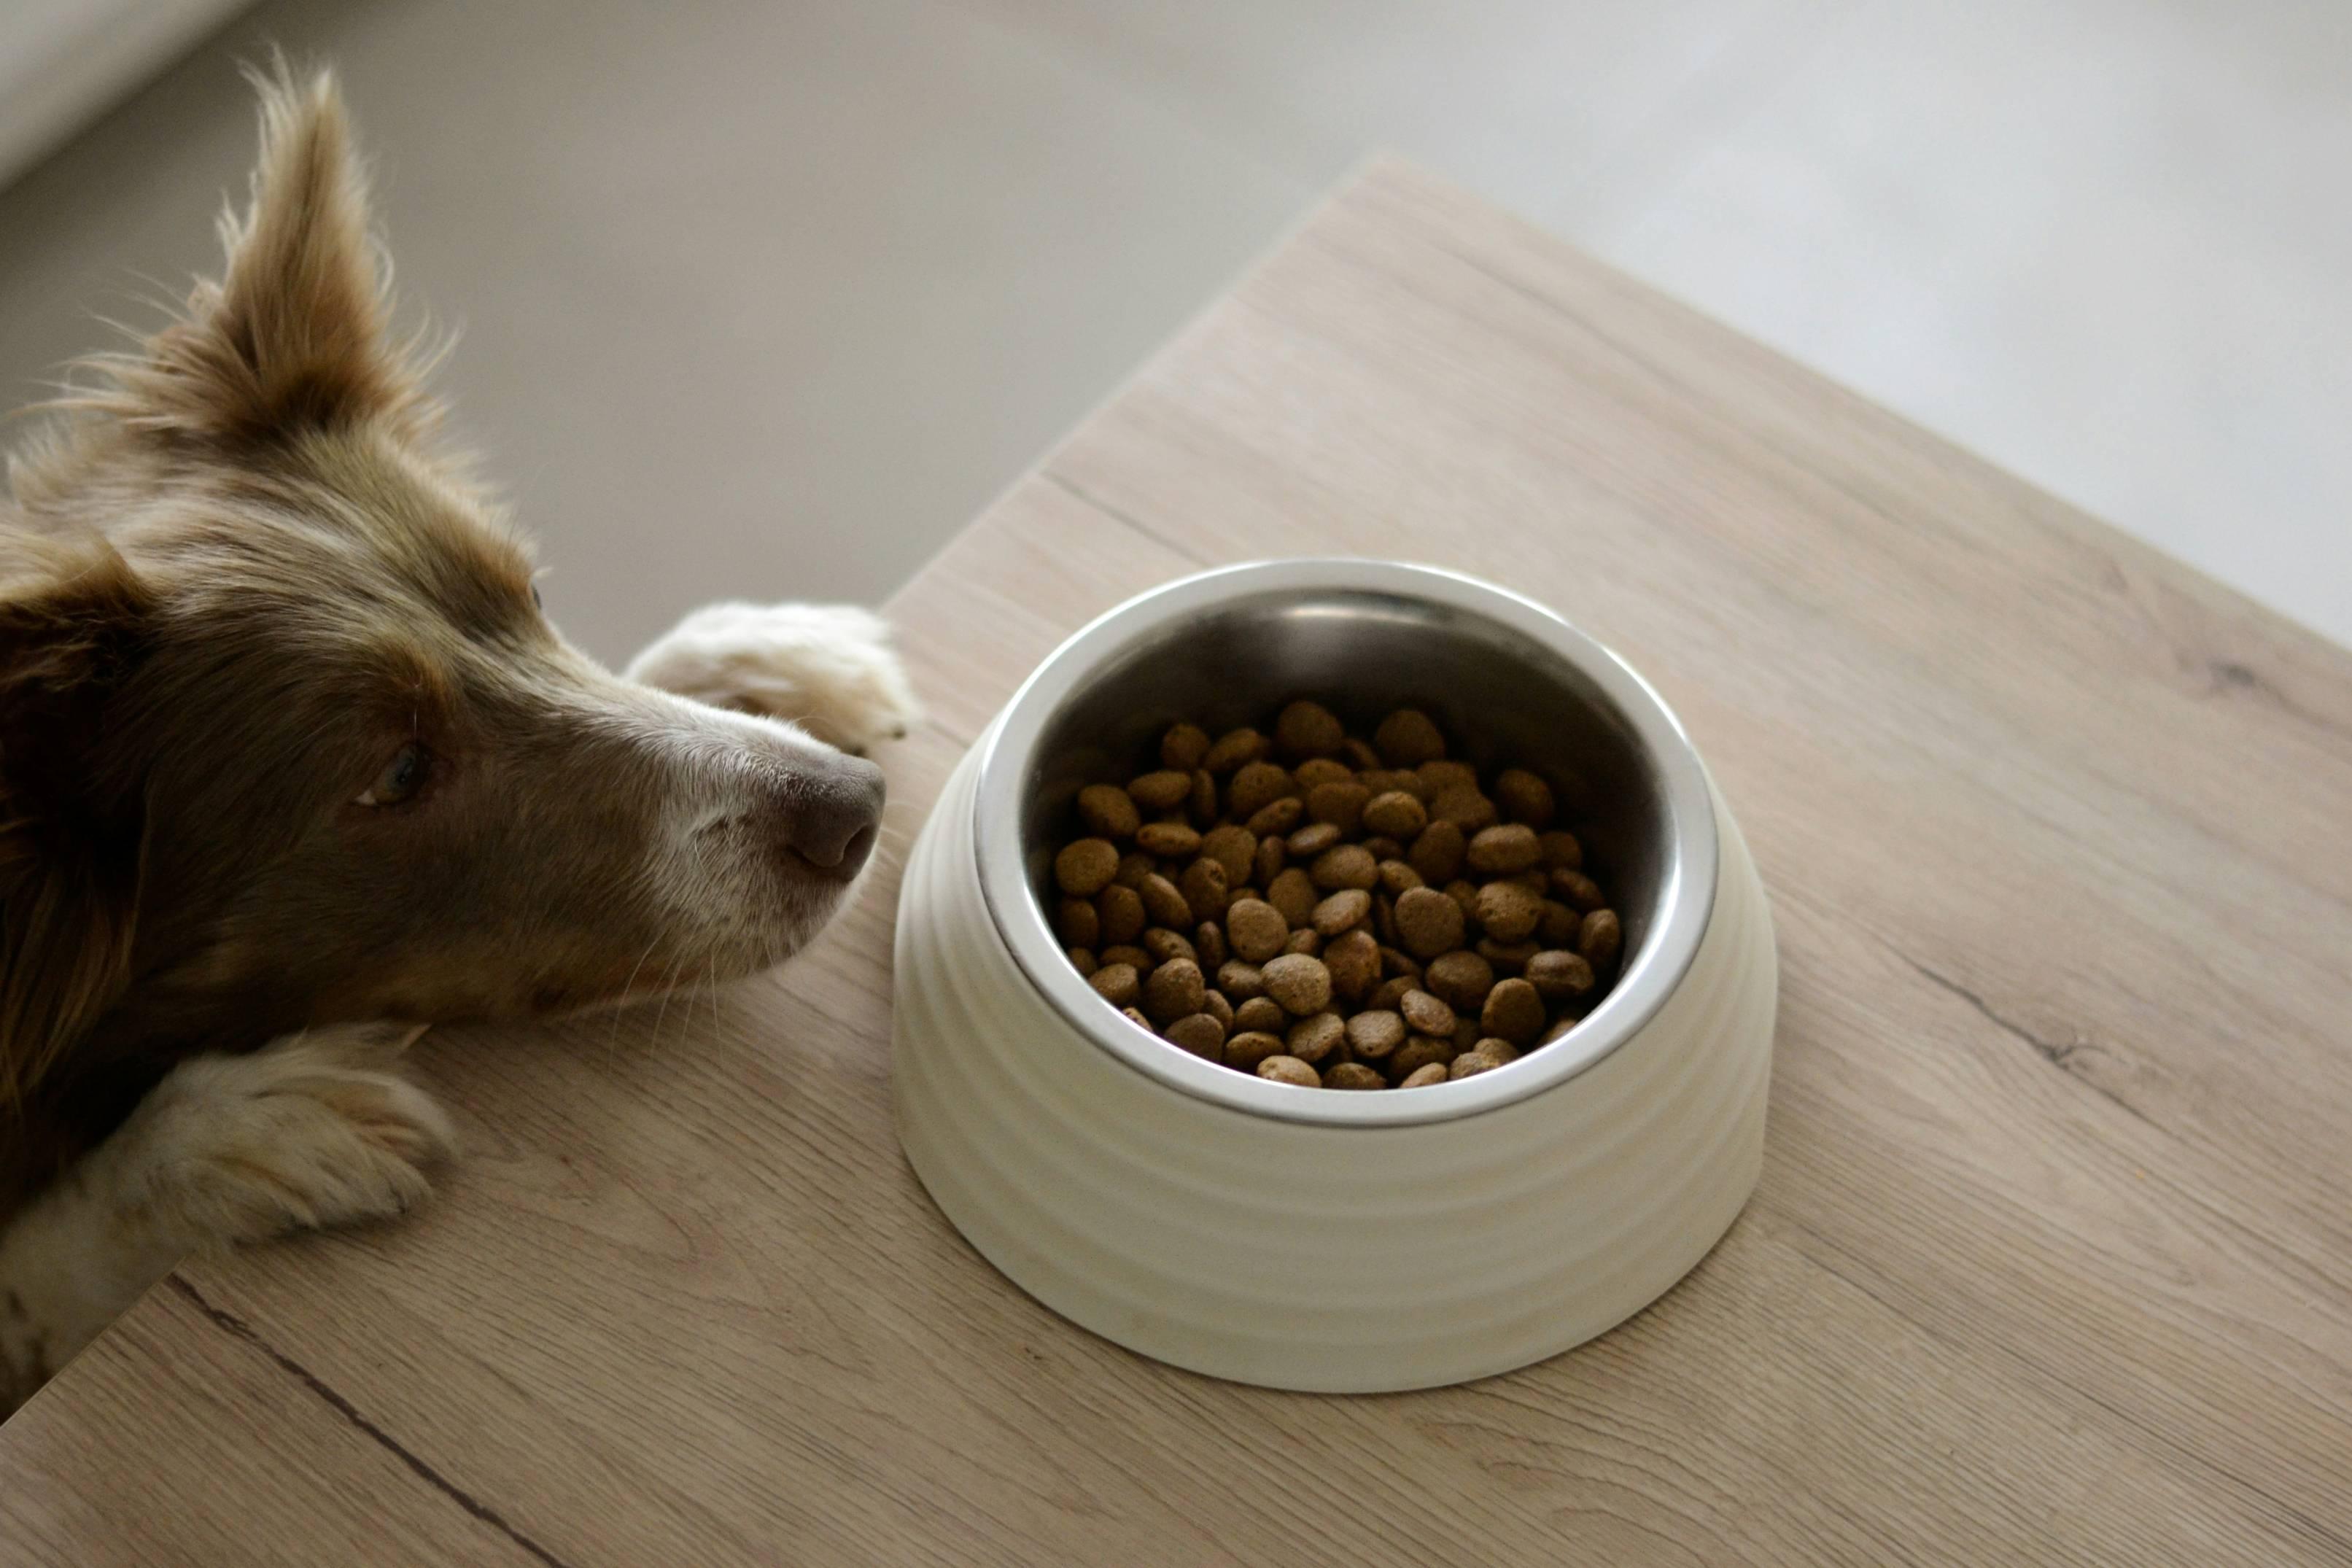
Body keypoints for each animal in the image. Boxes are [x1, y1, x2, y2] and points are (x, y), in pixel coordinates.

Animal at [0, 61, 917, 1419]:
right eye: (396, 771)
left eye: (528, 595)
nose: (852, 810)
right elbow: (35, 1271)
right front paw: (229, 1135)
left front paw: (763, 655)